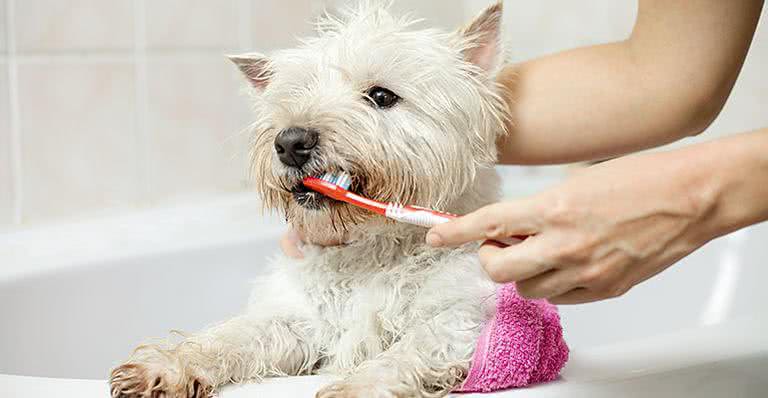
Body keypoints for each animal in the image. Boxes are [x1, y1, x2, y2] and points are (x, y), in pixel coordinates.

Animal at [109, 1, 510, 396]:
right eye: (295, 96)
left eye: (381, 96)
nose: (290, 142)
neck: (372, 250)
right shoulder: (300, 320)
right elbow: (234, 336)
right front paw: (164, 366)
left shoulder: (458, 318)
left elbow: (409, 351)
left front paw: (357, 388)